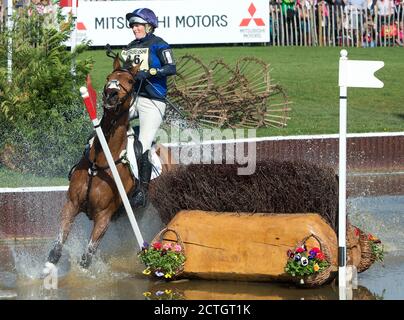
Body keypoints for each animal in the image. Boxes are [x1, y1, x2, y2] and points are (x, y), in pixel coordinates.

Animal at [45, 56, 174, 272]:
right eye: (108, 77)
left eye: (130, 81)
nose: (111, 94)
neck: (100, 161)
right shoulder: (71, 205)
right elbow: (56, 250)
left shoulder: (103, 217)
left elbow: (86, 258)